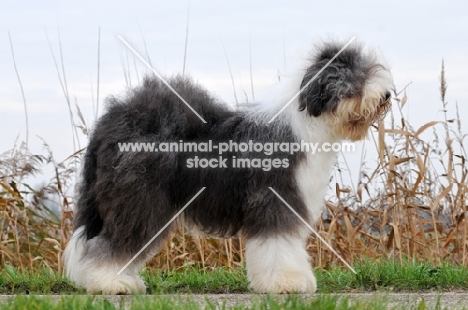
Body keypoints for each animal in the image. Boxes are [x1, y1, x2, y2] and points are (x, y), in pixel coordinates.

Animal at [61, 40, 392, 294]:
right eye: (356, 77)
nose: (387, 95)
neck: (306, 122)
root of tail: (109, 123)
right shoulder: (275, 200)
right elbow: (279, 245)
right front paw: (287, 283)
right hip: (139, 200)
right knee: (112, 244)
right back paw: (111, 283)